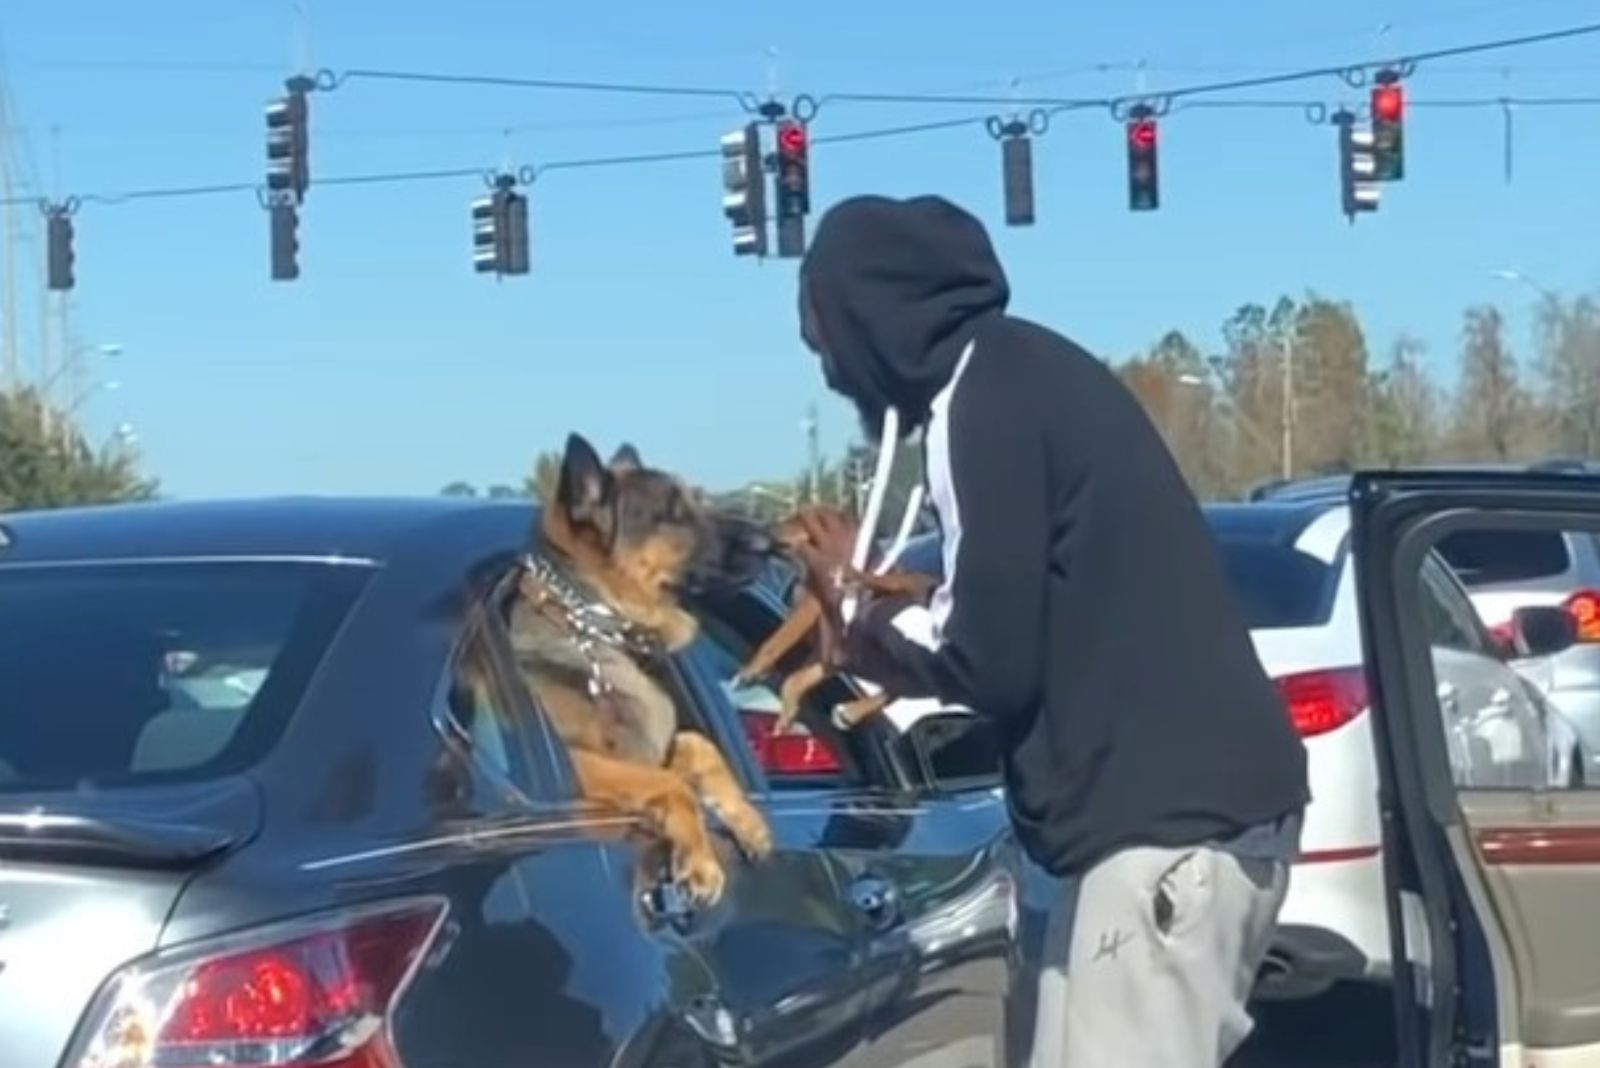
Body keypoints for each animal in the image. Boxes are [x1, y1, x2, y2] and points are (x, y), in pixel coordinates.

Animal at [732, 508, 934, 735]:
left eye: (798, 519)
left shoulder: (810, 612)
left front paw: (750, 672)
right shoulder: (827, 648)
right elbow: (797, 678)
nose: (763, 529)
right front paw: (787, 709)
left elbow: (775, 643)